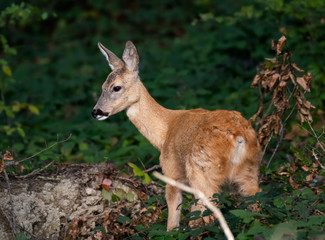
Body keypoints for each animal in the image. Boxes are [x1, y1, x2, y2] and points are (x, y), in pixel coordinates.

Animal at [91, 40, 260, 231]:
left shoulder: (171, 172)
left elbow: (172, 219)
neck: (165, 132)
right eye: (102, 87)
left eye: (116, 87)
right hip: (249, 171)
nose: (96, 112)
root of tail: (238, 137)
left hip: (202, 172)